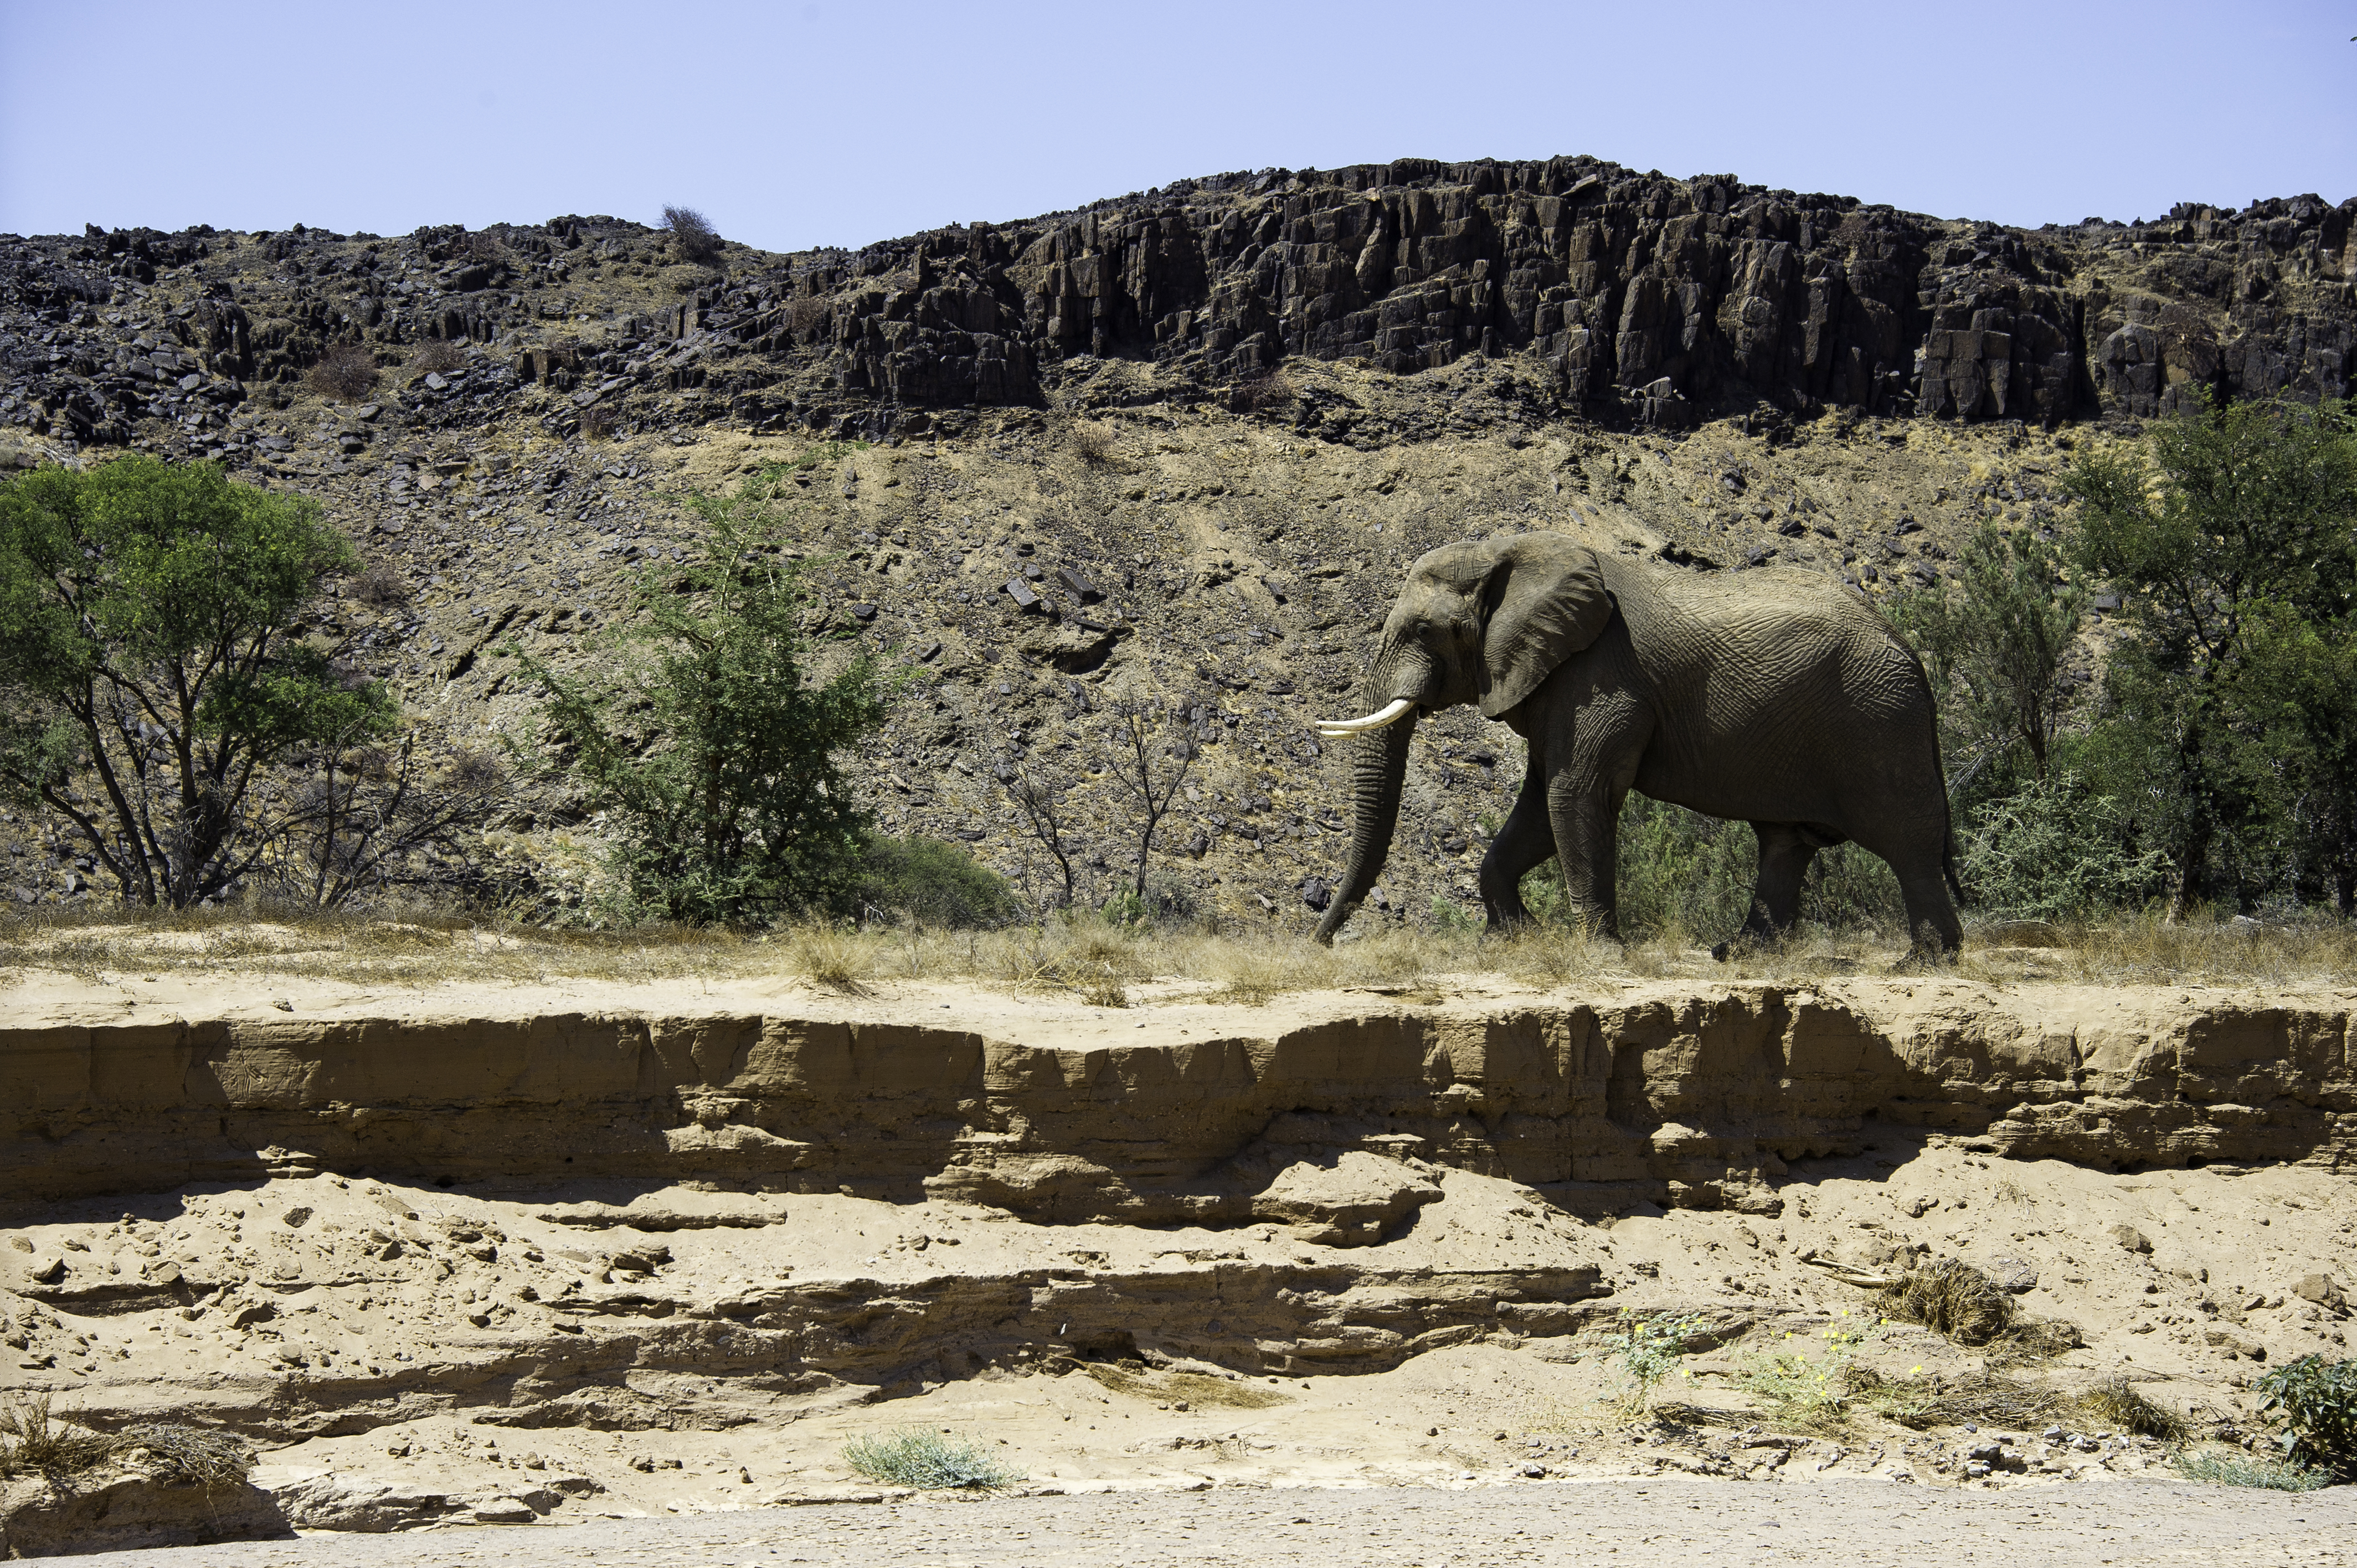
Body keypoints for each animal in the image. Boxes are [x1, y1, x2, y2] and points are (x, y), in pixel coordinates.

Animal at [1320, 528, 1960, 952]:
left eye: (1425, 630)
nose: (1321, 941)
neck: (1509, 554)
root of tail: (1907, 647)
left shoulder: (1602, 675)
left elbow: (1574, 795)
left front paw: (1598, 954)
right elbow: (1540, 806)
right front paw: (1515, 939)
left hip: (1879, 722)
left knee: (1908, 840)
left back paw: (1923, 964)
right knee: (1786, 843)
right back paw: (1740, 956)